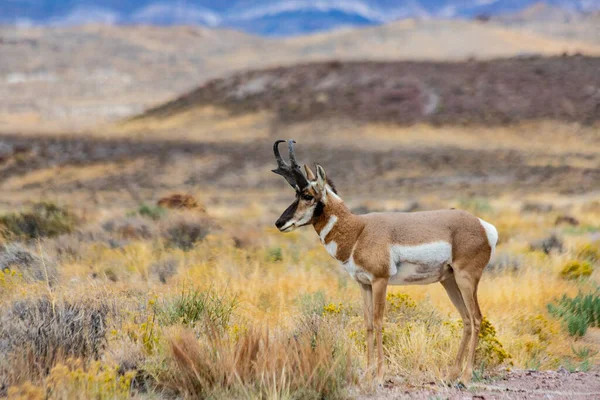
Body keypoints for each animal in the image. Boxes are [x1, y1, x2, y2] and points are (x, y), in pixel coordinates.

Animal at [272, 139, 496, 382]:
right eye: (295, 194)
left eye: (307, 196)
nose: (279, 223)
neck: (358, 230)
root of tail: (483, 225)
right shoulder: (364, 284)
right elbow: (368, 323)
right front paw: (369, 371)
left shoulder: (380, 281)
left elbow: (379, 321)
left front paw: (379, 373)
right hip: (449, 281)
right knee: (466, 319)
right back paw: (453, 374)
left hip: (466, 280)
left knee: (476, 318)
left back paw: (466, 376)